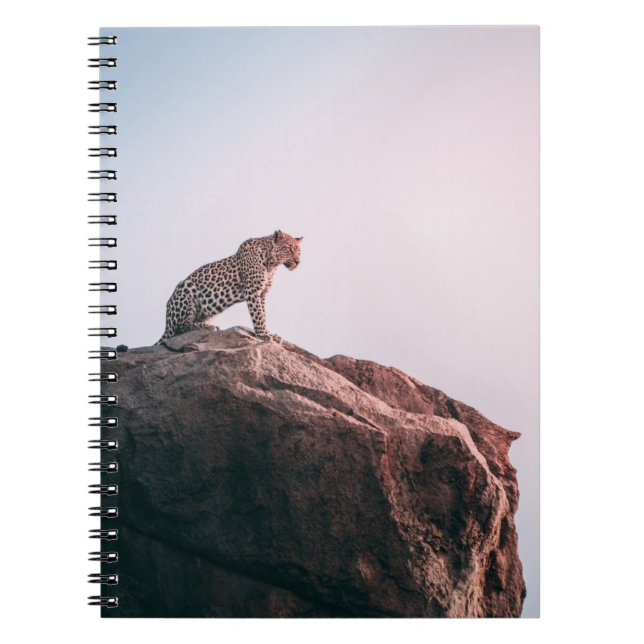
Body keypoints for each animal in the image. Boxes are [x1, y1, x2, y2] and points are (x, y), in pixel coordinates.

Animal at [157, 230, 302, 344]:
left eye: (299, 251)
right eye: (289, 248)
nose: (298, 262)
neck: (271, 264)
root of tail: (166, 322)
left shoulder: (262, 293)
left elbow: (263, 314)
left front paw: (269, 333)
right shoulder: (252, 291)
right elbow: (258, 315)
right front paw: (263, 335)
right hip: (186, 287)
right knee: (181, 327)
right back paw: (208, 327)